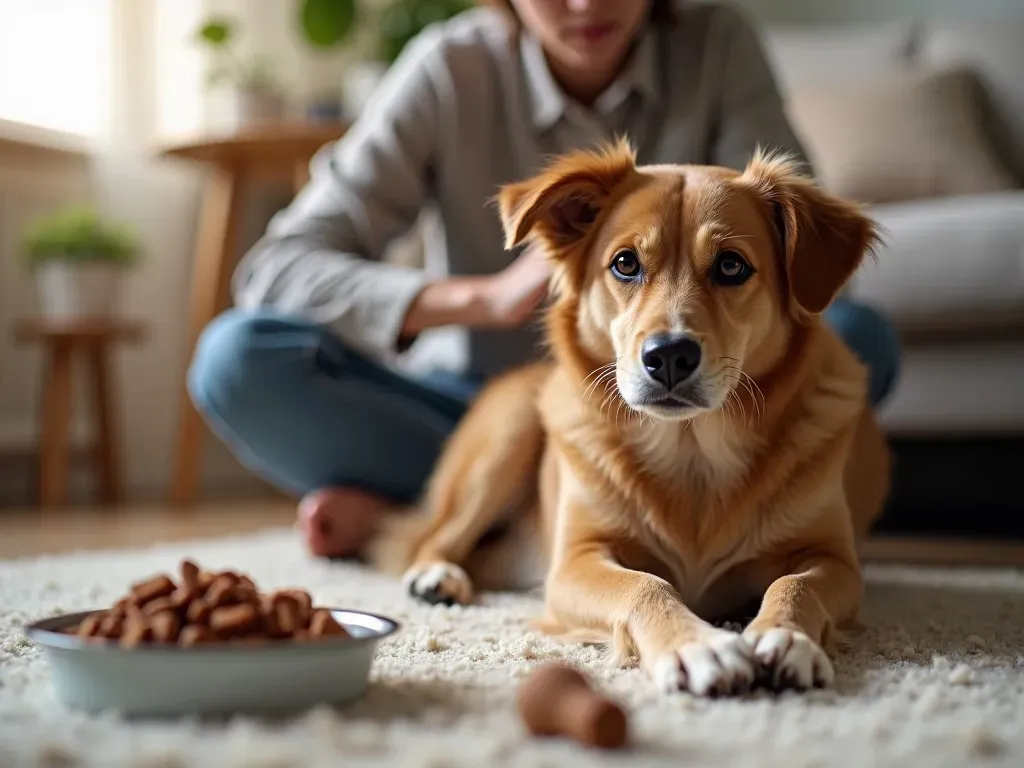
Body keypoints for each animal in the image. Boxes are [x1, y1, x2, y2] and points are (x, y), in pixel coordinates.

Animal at [366, 140, 888, 696]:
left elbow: (794, 584)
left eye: (731, 266)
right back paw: (436, 576)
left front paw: (786, 636)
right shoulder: (574, 562)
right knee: (437, 536)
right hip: (506, 439)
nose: (670, 356)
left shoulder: (834, 559)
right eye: (624, 263)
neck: (692, 452)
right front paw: (698, 645)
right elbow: (645, 585)